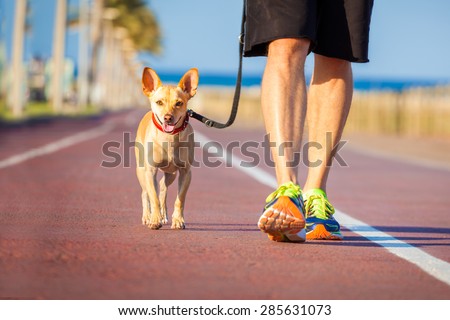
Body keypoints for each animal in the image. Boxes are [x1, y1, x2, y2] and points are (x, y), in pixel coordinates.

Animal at [134, 67, 197, 229]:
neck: (169, 138)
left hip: (171, 174)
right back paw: (147, 216)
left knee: (162, 187)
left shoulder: (186, 173)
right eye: (159, 102)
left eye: (179, 103)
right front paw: (154, 219)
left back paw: (164, 214)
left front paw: (178, 220)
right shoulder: (150, 171)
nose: (168, 117)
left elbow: (179, 199)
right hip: (141, 171)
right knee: (145, 193)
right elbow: (153, 198)